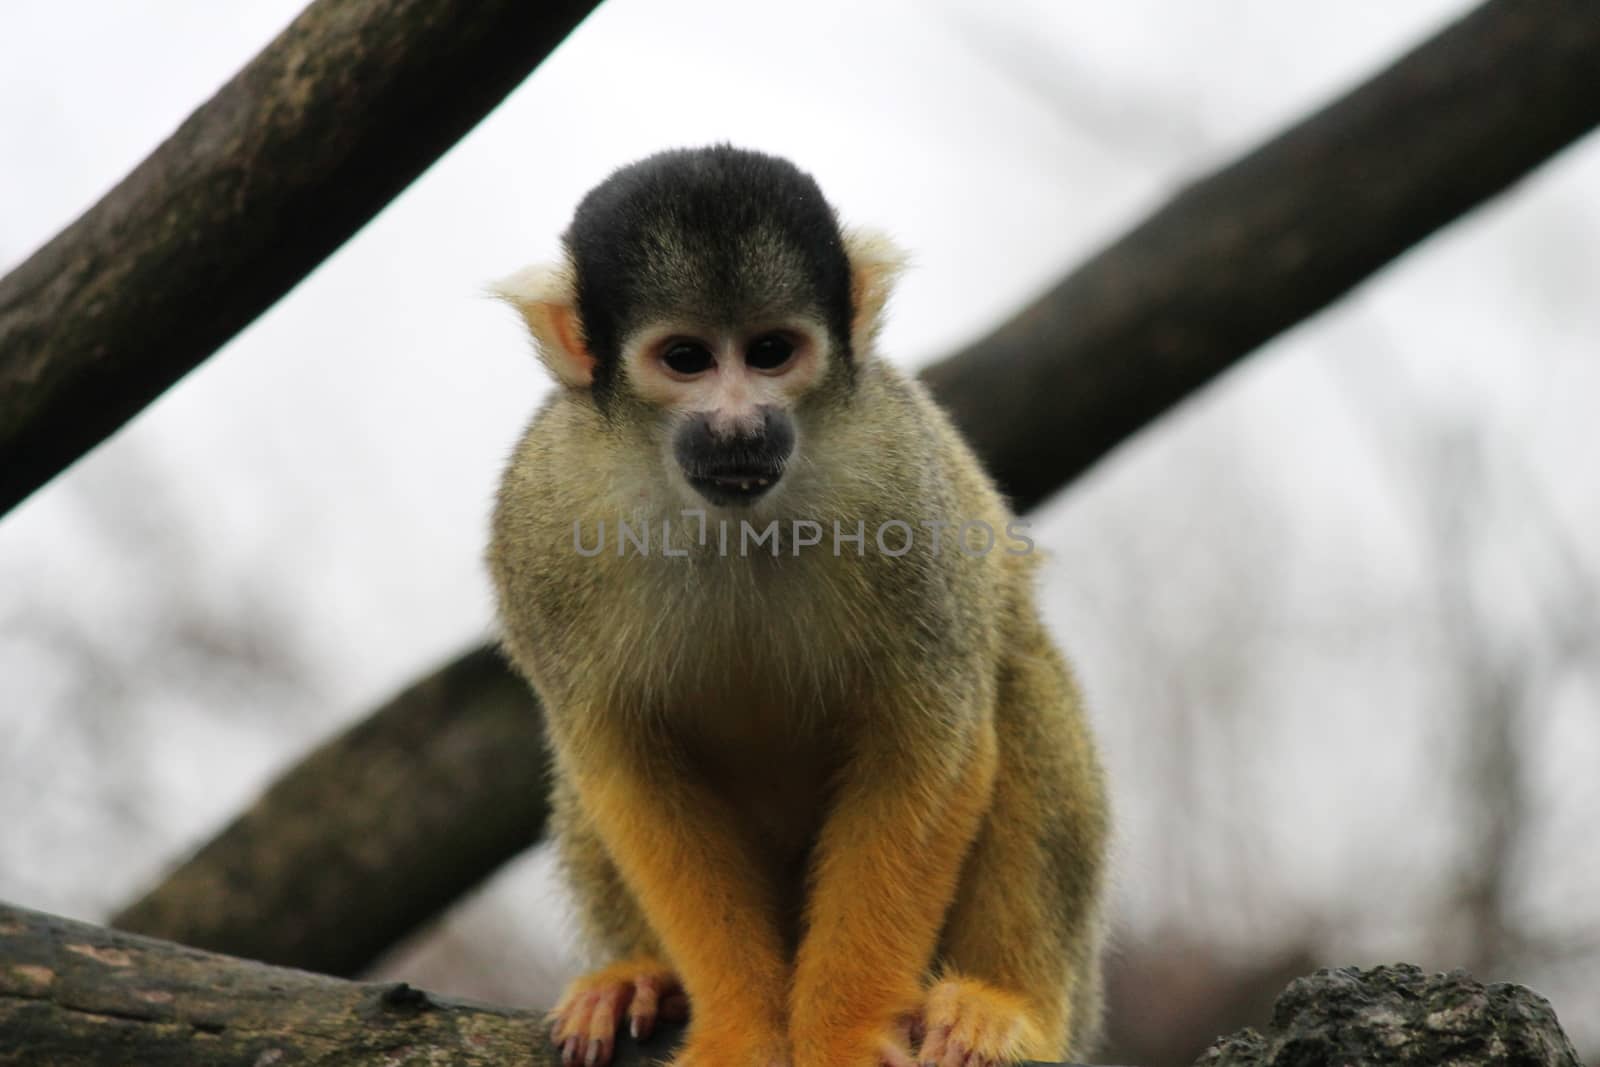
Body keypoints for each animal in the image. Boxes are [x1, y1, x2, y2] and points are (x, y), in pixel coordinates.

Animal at [492, 143, 1107, 1067]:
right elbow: (622, 763)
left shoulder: (897, 473)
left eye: (772, 351)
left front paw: (844, 1031)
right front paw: (740, 1028)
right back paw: (637, 976)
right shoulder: (543, 517)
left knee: (1015, 677)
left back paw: (1007, 1008)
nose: (740, 426)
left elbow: (930, 738)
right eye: (687, 359)